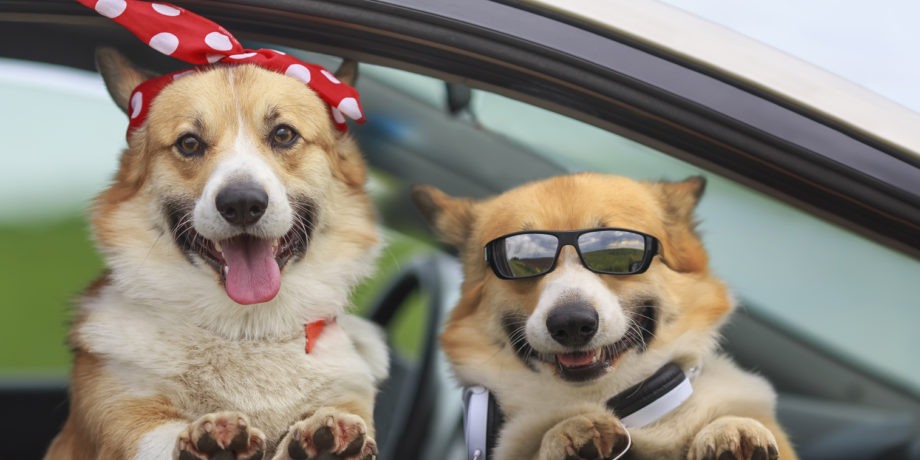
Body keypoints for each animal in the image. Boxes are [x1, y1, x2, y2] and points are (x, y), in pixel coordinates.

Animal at [43, 48, 386, 458]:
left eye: (283, 134)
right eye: (189, 143)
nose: (242, 204)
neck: (247, 329)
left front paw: (322, 437)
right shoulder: (123, 413)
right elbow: (159, 436)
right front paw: (210, 439)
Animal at [414, 172, 796, 460]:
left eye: (616, 247)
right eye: (521, 258)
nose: (571, 324)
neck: (615, 407)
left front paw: (731, 428)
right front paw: (567, 434)